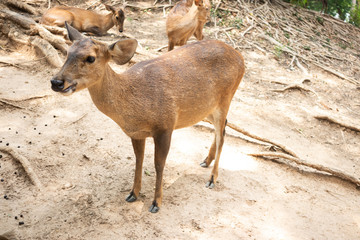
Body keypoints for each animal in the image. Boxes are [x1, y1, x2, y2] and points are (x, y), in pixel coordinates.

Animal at [50, 22, 246, 213]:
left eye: (90, 58)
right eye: (67, 52)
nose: (56, 82)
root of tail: (240, 58)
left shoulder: (165, 125)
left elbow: (159, 164)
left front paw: (156, 203)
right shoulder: (136, 133)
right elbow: (139, 160)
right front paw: (133, 194)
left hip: (226, 97)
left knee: (222, 134)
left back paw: (212, 179)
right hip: (207, 108)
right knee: (224, 127)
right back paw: (206, 161)